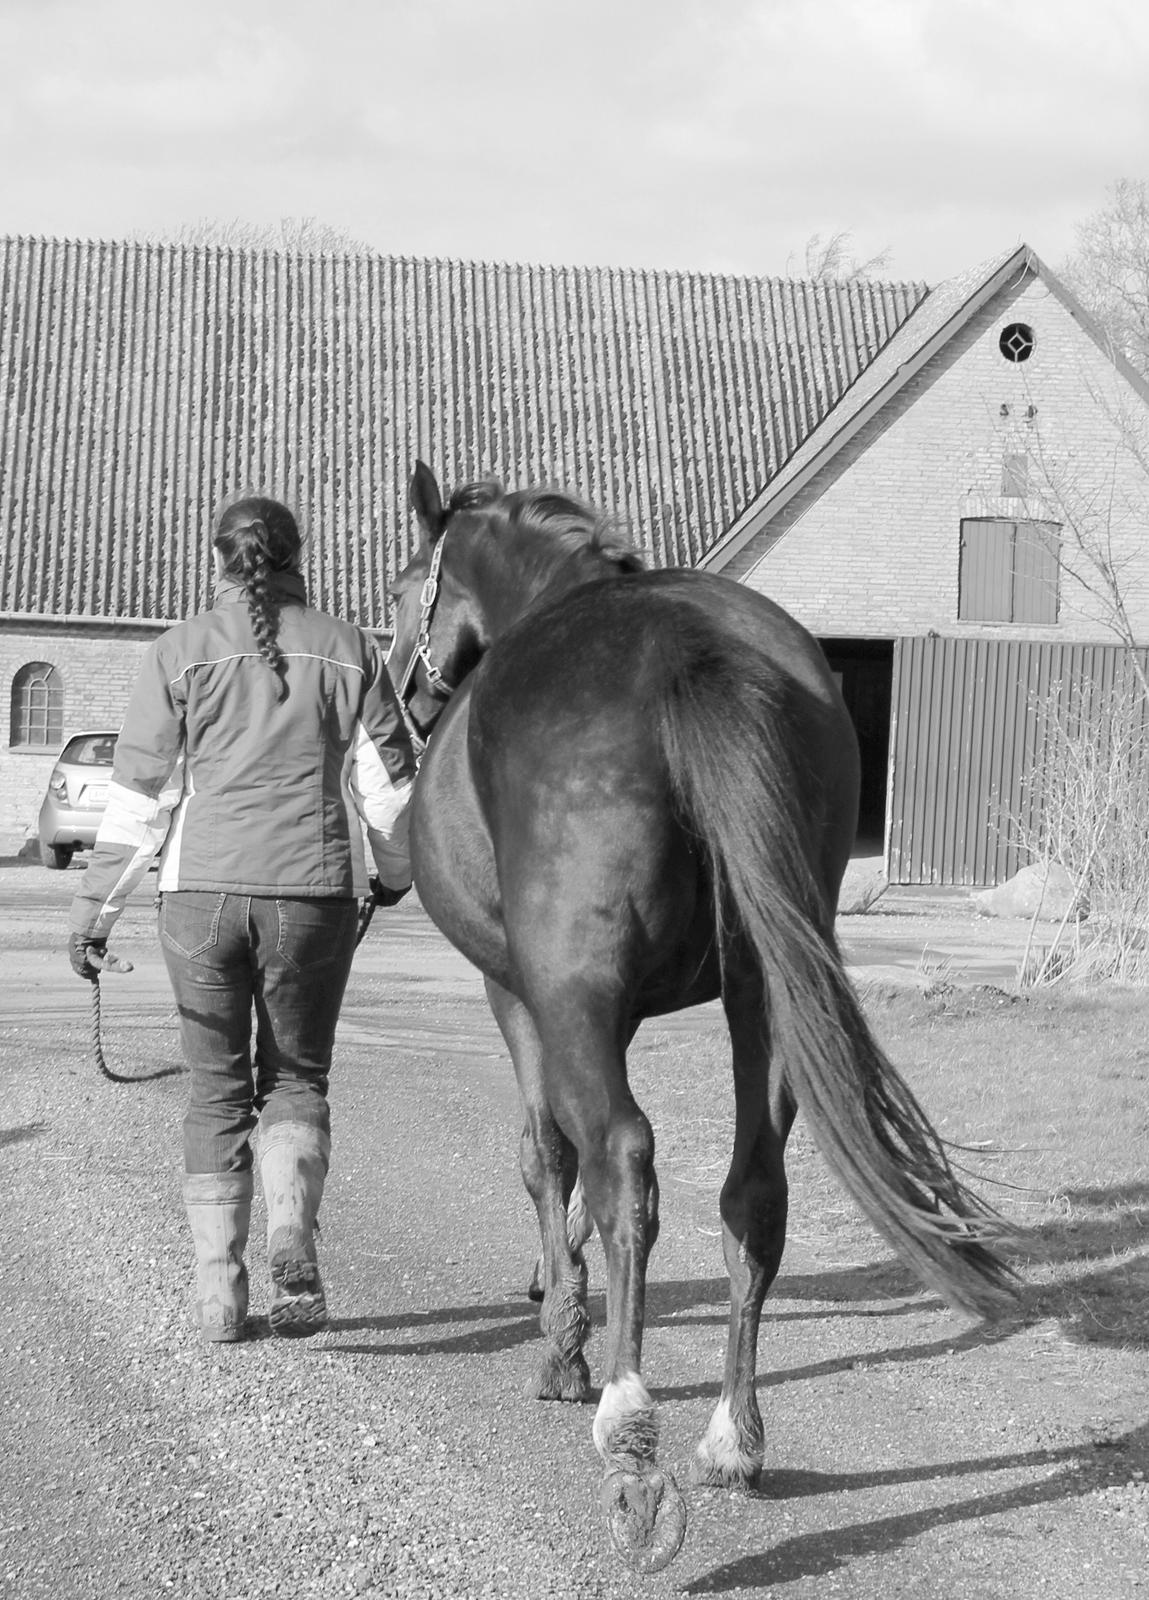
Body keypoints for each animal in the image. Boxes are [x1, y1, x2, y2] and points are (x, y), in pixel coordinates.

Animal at [388, 460, 1017, 1561]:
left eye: (399, 588)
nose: (401, 703)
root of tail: (687, 644)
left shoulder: (523, 996)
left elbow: (547, 1155)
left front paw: (563, 1342)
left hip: (580, 992)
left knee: (626, 1161)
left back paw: (630, 1433)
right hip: (767, 992)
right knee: (752, 1193)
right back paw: (734, 1437)